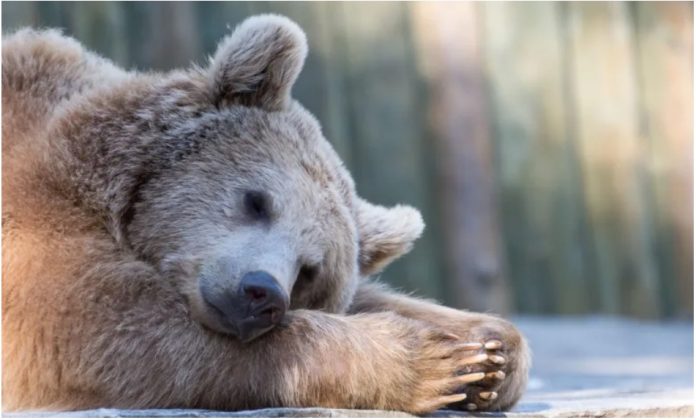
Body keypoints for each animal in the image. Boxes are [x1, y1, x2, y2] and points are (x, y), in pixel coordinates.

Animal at [2, 15, 529, 414]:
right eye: (257, 200)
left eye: (310, 269)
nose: (260, 293)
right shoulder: (36, 212)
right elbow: (96, 325)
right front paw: (431, 360)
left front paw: (488, 351)